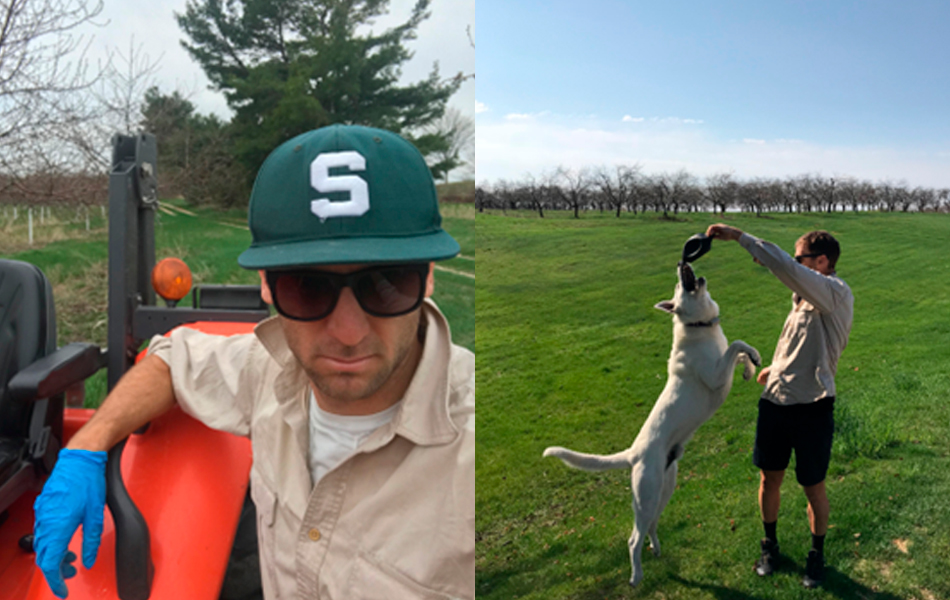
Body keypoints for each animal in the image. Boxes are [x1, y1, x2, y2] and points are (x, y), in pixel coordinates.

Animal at [548, 262, 764, 584]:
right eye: (677, 284)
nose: (682, 263)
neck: (699, 326)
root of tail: (633, 453)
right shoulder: (715, 376)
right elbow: (735, 346)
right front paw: (750, 358)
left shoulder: (722, 365)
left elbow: (738, 350)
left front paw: (752, 364)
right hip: (647, 494)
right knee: (632, 539)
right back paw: (636, 575)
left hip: (666, 487)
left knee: (650, 526)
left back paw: (657, 549)